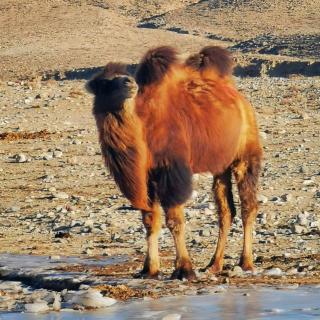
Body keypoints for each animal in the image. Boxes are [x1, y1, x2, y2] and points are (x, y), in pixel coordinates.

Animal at [85, 45, 262, 280]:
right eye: (104, 83)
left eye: (125, 76)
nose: (129, 83)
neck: (144, 126)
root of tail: (240, 99)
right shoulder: (147, 176)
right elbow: (150, 221)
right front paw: (149, 269)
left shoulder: (171, 172)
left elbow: (174, 220)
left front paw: (184, 269)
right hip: (221, 164)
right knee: (225, 211)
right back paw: (213, 264)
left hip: (245, 154)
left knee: (248, 206)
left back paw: (246, 262)